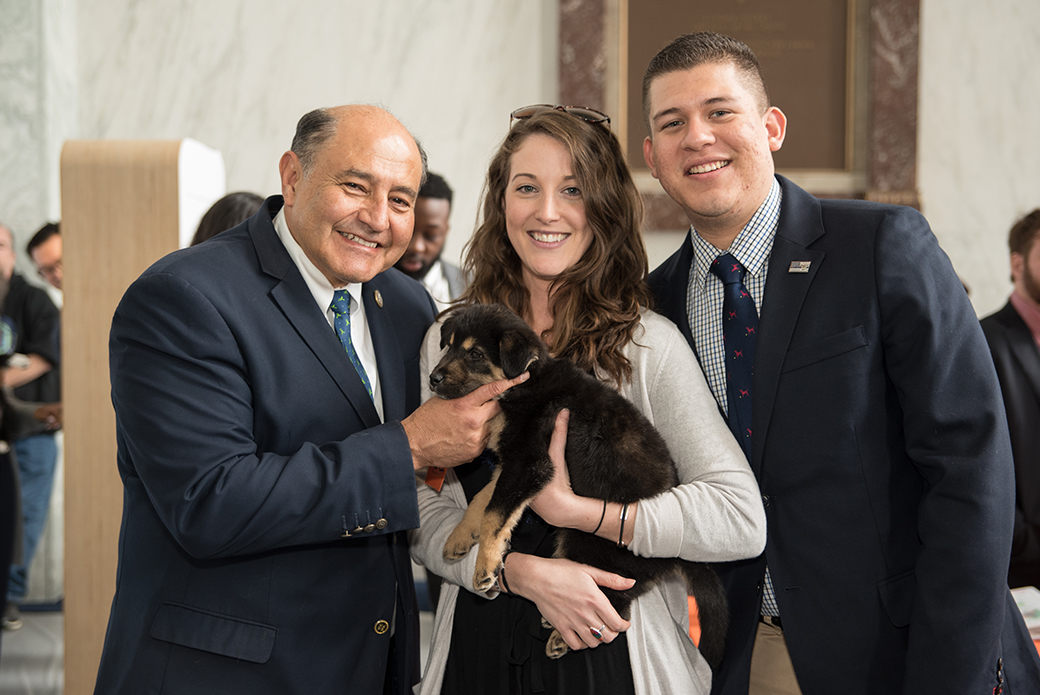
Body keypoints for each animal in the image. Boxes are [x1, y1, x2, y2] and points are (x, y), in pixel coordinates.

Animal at [426, 301, 728, 661]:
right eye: (449, 346)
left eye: (475, 354)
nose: (432, 379)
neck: (524, 382)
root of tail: (676, 557)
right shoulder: (511, 464)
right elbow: (483, 501)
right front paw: (459, 538)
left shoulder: (530, 463)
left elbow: (495, 513)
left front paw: (485, 566)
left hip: (590, 545)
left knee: (617, 603)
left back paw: (560, 638)